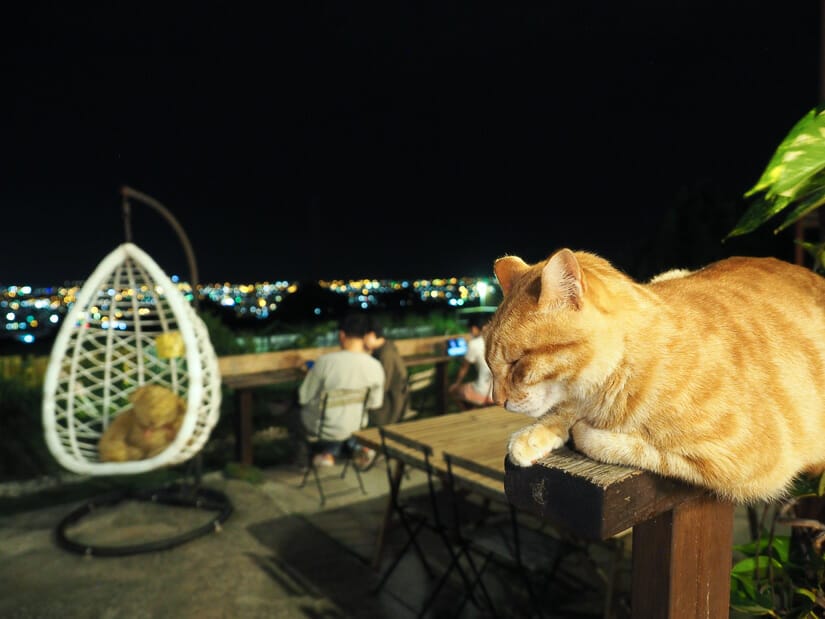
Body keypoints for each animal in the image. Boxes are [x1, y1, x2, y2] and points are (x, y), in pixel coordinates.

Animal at [486, 247, 824, 504]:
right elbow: (564, 410)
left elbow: (626, 445)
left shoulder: (751, 460)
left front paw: (585, 429)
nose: (496, 400)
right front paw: (536, 433)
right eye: (490, 364)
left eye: (517, 362)